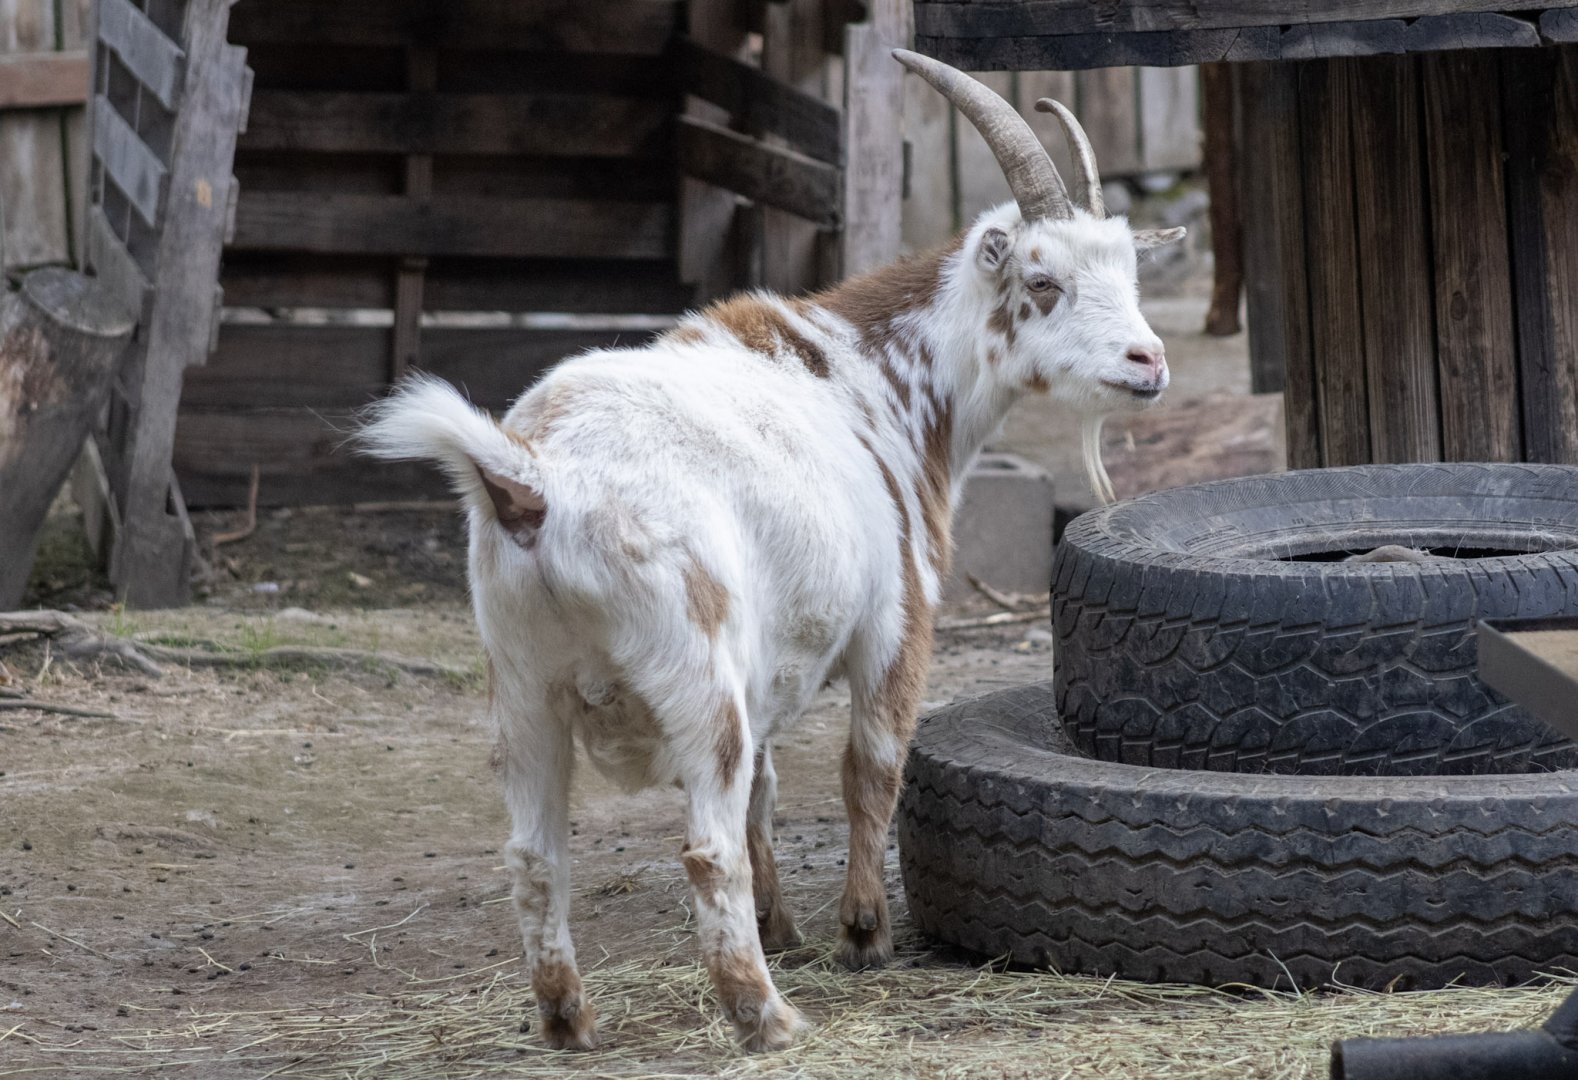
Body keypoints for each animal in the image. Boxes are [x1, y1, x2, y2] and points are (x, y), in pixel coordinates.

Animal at [358, 49, 1183, 1053]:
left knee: (535, 852)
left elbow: (768, 785)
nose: (1148, 363)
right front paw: (863, 934)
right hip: (691, 665)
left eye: (1131, 275)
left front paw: (786, 927)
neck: (873, 378)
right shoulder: (897, 618)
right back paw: (767, 1017)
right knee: (705, 845)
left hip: (520, 681)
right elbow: (869, 769)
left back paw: (569, 1020)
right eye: (1043, 282)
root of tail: (536, 476)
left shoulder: (767, 660)